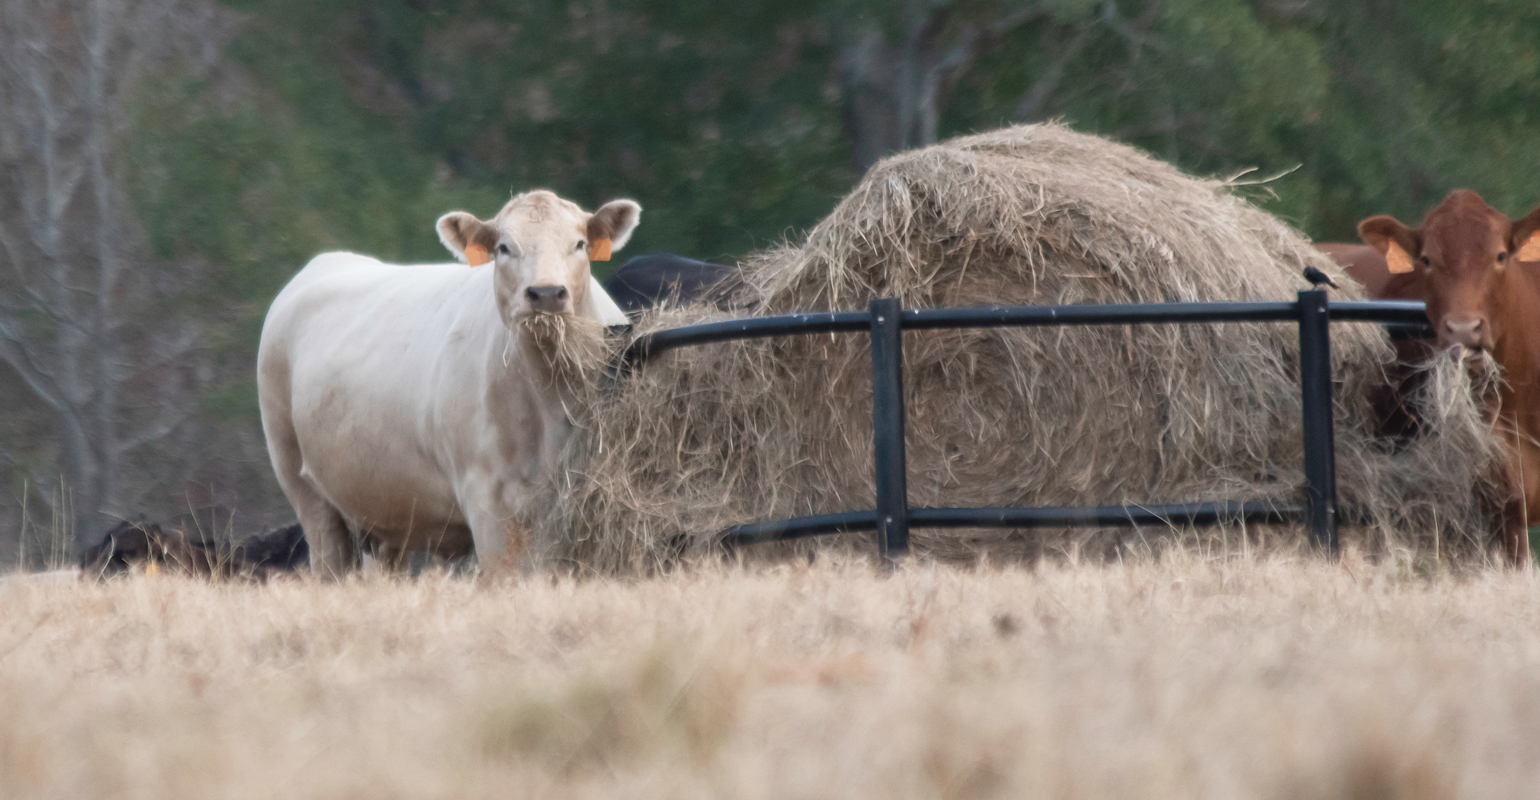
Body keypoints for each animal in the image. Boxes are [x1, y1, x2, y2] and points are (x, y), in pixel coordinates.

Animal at [258, 190, 637, 573]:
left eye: (580, 244)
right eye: (504, 247)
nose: (546, 293)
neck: (547, 401)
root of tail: (327, 261)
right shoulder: (487, 500)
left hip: (385, 513)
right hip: (302, 486)